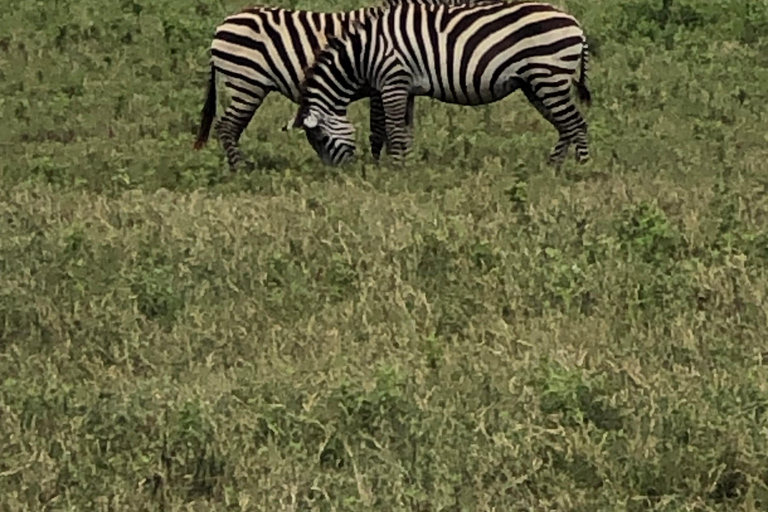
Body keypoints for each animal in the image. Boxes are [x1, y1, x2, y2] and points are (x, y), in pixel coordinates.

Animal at [191, 0, 492, 171]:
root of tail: (224, 24)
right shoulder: (380, 81)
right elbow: (379, 127)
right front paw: (378, 164)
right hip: (247, 83)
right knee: (227, 127)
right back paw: (240, 170)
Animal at [288, 0, 592, 166]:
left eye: (322, 139)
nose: (340, 174)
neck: (364, 52)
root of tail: (575, 23)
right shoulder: (405, 87)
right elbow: (405, 130)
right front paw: (406, 165)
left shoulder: (393, 81)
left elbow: (393, 128)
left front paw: (394, 168)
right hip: (536, 83)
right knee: (564, 125)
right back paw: (554, 167)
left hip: (549, 76)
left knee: (576, 124)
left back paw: (579, 169)